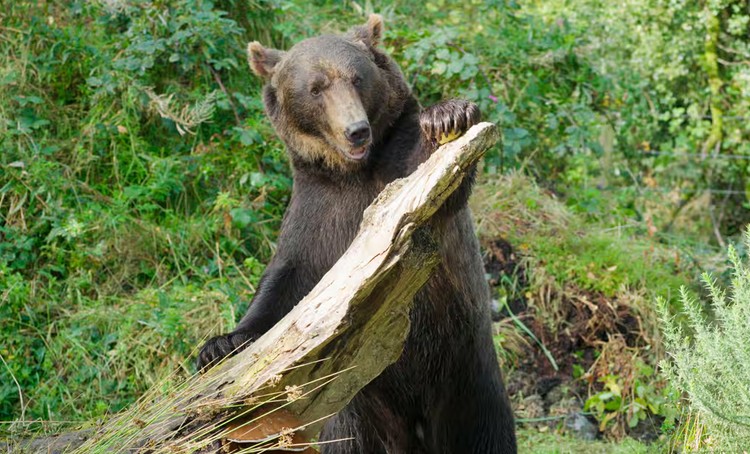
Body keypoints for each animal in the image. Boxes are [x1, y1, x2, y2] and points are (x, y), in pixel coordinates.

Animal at [197, 14, 517, 454]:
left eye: (357, 78)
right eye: (315, 88)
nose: (356, 131)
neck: (354, 172)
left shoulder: (398, 174)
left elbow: (437, 184)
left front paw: (448, 115)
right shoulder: (319, 212)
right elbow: (285, 283)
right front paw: (220, 343)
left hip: (467, 377)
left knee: (484, 433)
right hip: (360, 406)